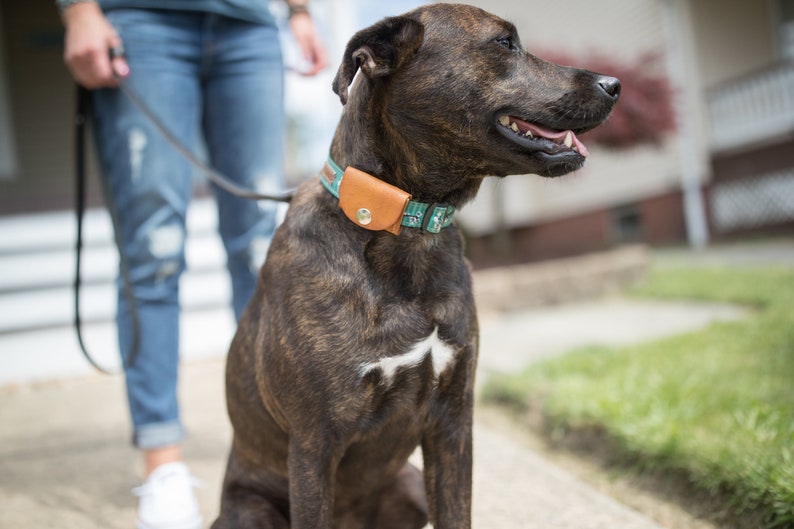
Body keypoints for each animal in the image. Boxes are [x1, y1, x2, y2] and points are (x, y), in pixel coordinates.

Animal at [212, 4, 620, 528]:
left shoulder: (453, 424)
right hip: (251, 511)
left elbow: (457, 512)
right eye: (504, 43)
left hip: (408, 486)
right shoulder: (313, 445)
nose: (614, 84)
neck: (408, 227)